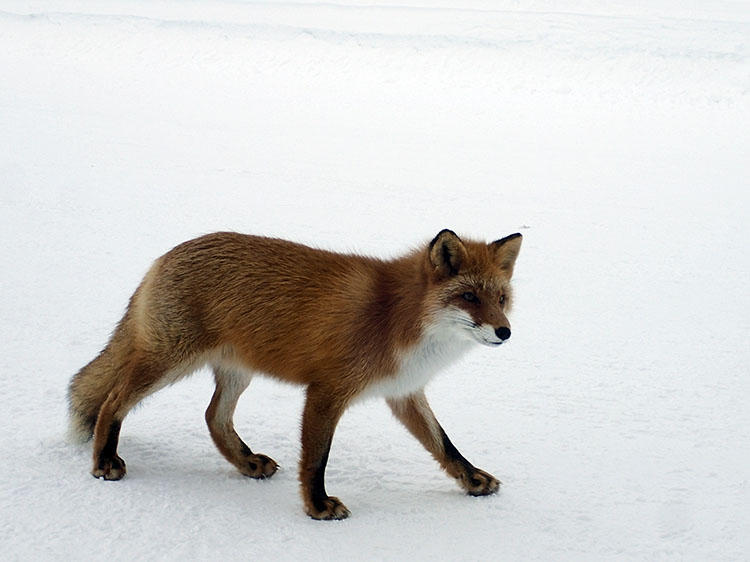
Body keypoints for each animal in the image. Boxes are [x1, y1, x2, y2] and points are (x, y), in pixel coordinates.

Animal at [69, 230, 524, 520]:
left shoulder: (403, 392)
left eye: (501, 299)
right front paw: (317, 507)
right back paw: (103, 460)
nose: (505, 332)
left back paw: (247, 463)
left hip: (236, 372)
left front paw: (473, 480)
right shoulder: (326, 390)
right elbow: (317, 459)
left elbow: (445, 445)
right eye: (469, 297)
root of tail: (164, 256)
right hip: (169, 362)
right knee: (112, 401)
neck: (396, 317)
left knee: (214, 417)